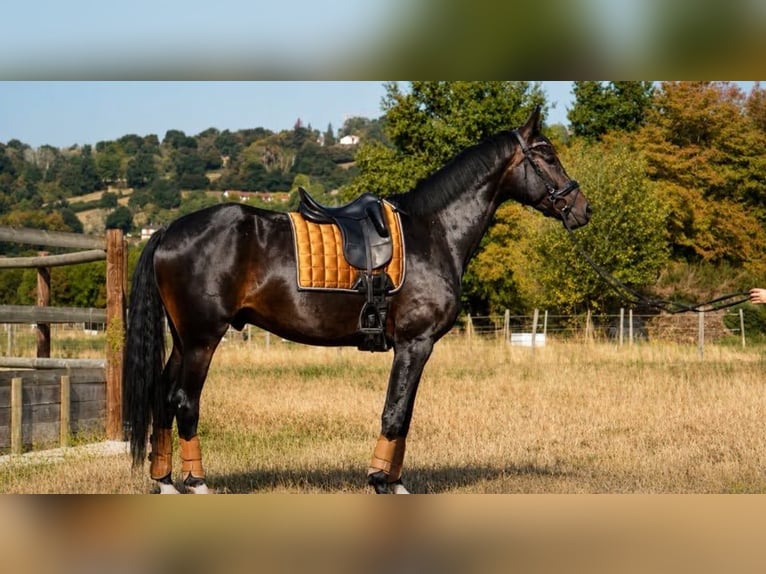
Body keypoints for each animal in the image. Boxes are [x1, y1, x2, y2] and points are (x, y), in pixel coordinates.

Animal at [123, 106, 591, 494]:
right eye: (547, 156)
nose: (582, 208)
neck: (432, 231)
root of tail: (167, 229)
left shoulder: (414, 348)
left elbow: (404, 414)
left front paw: (393, 480)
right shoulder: (414, 344)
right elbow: (395, 412)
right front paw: (382, 482)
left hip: (183, 339)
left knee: (162, 396)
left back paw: (165, 481)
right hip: (202, 339)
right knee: (184, 401)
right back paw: (197, 483)